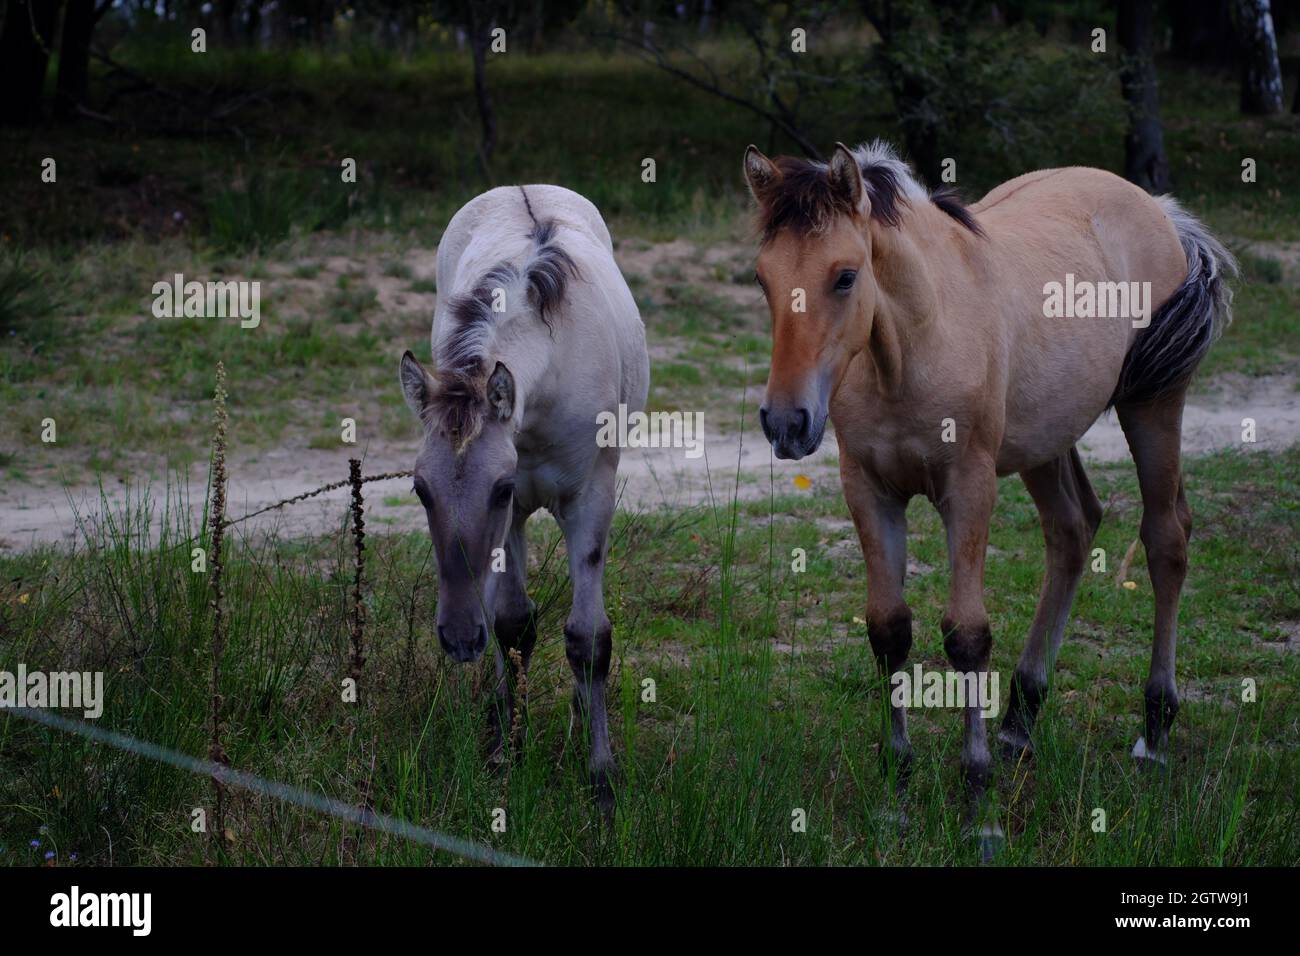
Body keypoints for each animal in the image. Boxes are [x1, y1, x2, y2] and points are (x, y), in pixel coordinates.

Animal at [397, 184, 647, 806]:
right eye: (419, 488)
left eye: (500, 486)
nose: (459, 638)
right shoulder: (513, 520)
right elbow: (513, 624)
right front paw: (507, 747)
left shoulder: (587, 500)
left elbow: (589, 639)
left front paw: (601, 778)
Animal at [748, 141, 1232, 837]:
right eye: (762, 279)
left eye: (844, 276)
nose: (786, 423)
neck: (913, 346)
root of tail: (1160, 211)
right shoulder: (868, 489)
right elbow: (888, 629)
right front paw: (897, 788)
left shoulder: (969, 488)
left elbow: (967, 636)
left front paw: (978, 804)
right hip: (1045, 440)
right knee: (1073, 529)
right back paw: (1020, 720)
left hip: (1153, 405)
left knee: (1167, 538)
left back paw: (1155, 731)